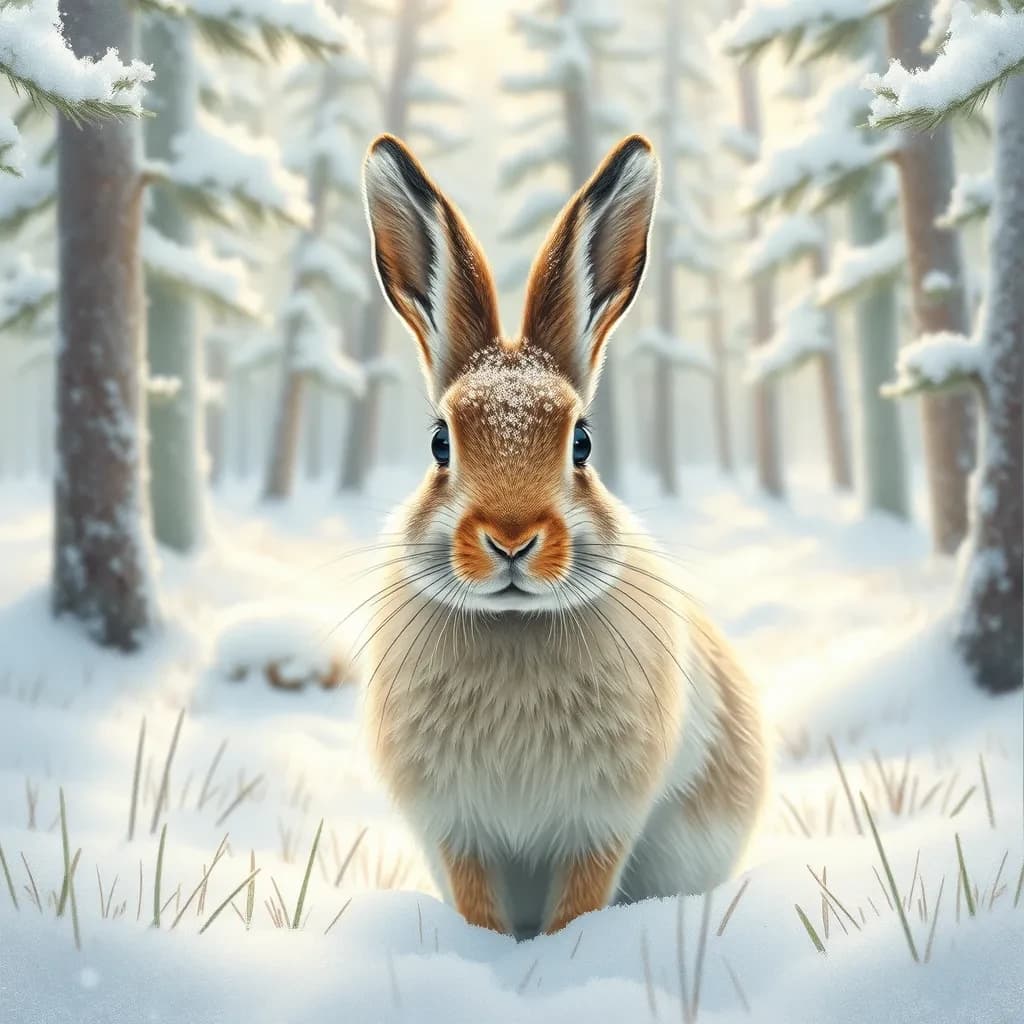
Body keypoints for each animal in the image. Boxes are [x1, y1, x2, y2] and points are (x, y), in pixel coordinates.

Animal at [360, 132, 767, 939]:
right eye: (439, 444)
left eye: (582, 443)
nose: (513, 539)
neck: (515, 623)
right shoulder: (460, 831)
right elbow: (478, 905)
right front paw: (489, 955)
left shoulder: (599, 826)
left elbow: (579, 901)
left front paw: (560, 952)